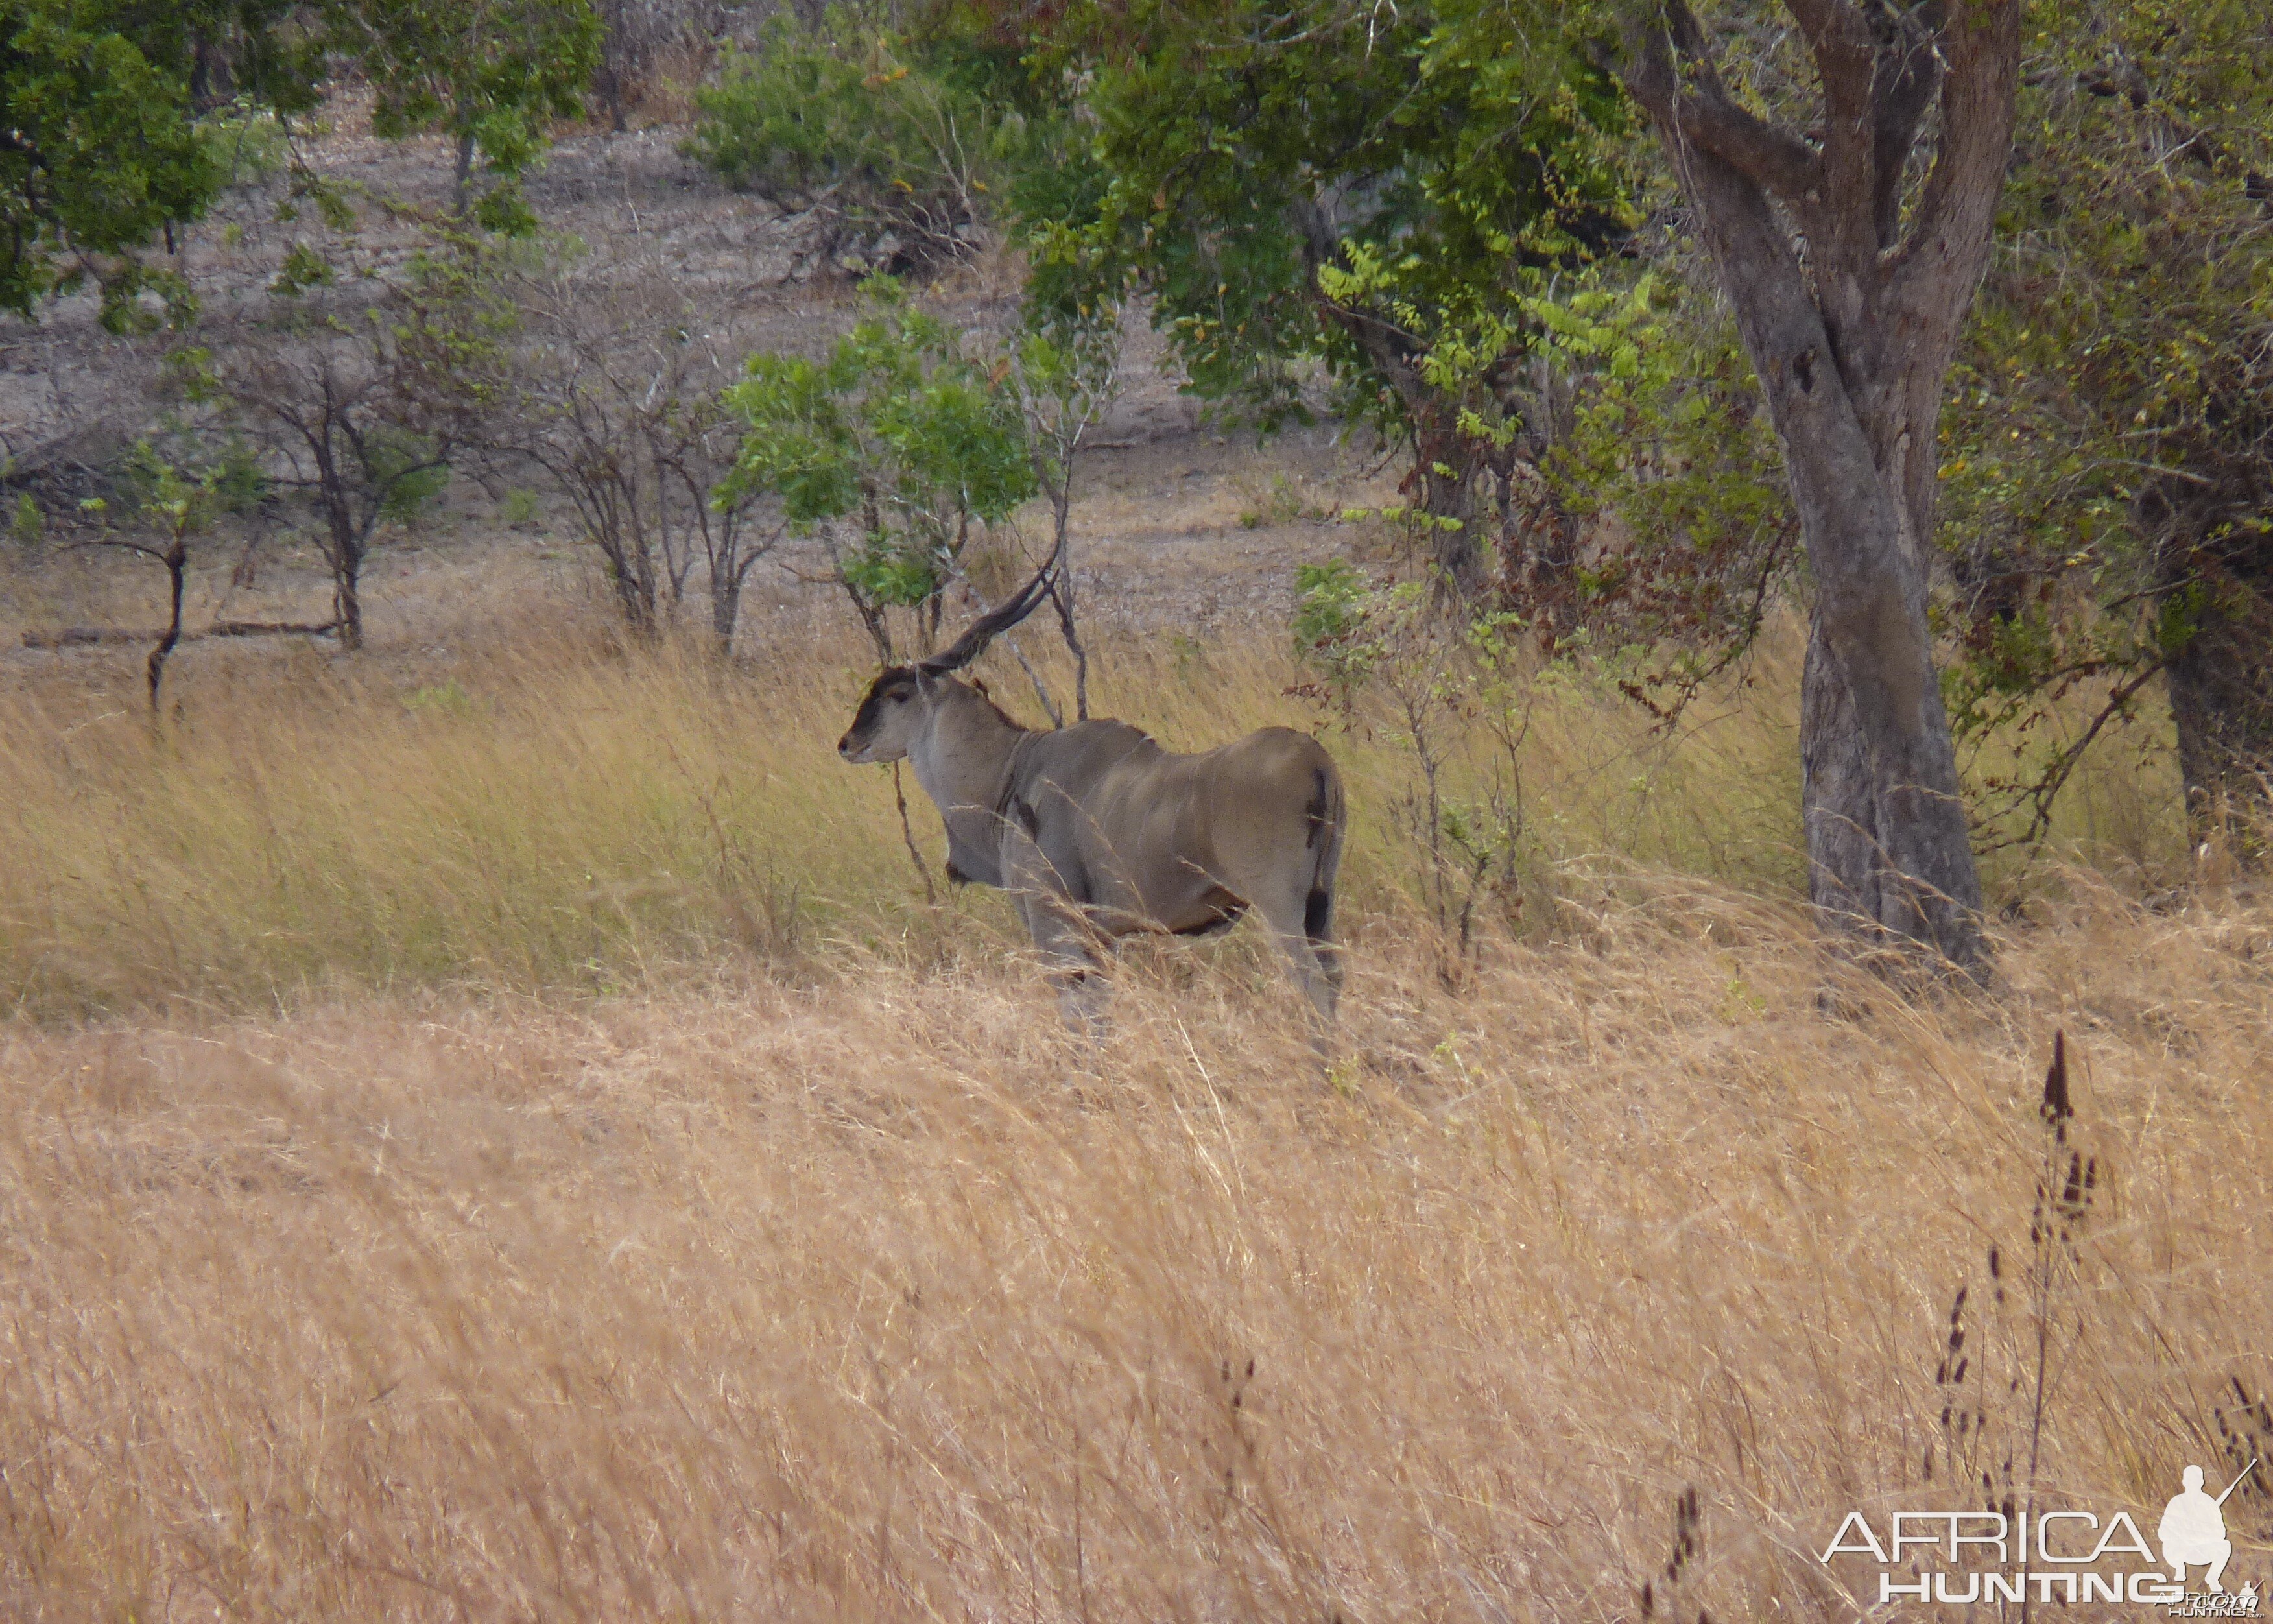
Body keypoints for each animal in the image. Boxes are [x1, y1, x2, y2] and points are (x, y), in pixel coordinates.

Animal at [840, 553, 1336, 1023]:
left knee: (1313, 987)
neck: (1012, 770)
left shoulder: (1053, 925)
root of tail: (1315, 760)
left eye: (897, 695)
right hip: (1320, 908)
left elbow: (1082, 1019)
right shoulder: (1101, 938)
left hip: (1279, 908)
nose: (847, 743)